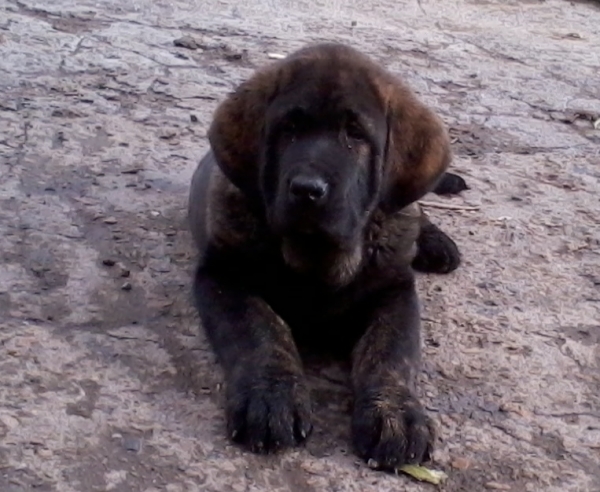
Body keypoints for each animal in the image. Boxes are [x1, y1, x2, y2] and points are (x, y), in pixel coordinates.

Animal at [189, 43, 468, 472]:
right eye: (288, 129)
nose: (307, 189)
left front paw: (394, 413)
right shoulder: (224, 275)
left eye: (355, 134)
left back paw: (437, 243)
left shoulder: (394, 289)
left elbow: (392, 351)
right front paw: (271, 395)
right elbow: (260, 329)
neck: (317, 262)